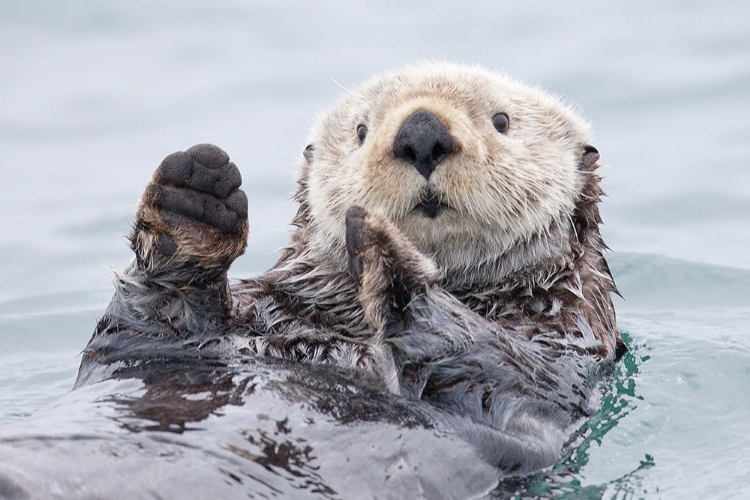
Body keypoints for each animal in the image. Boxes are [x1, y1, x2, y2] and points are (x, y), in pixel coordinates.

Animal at [76, 62, 624, 476]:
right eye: (361, 131)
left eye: (502, 120)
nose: (421, 132)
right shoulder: (176, 338)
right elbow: (146, 324)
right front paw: (195, 196)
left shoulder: (561, 353)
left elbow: (500, 360)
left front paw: (387, 255)